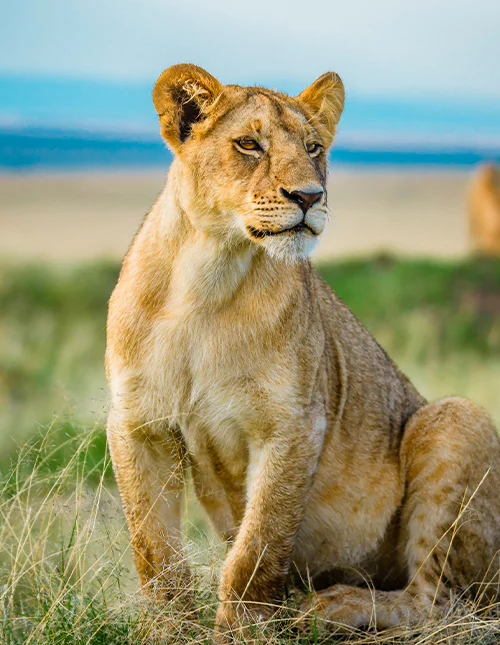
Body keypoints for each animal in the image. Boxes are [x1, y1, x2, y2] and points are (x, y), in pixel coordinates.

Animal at [105, 64, 500, 639]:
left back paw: (331, 607)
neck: (207, 277)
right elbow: (153, 548)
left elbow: (257, 546)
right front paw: (169, 629)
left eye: (314, 147)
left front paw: (243, 631)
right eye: (249, 144)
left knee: (439, 601)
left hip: (455, 416)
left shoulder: (292, 425)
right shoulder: (139, 425)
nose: (309, 197)